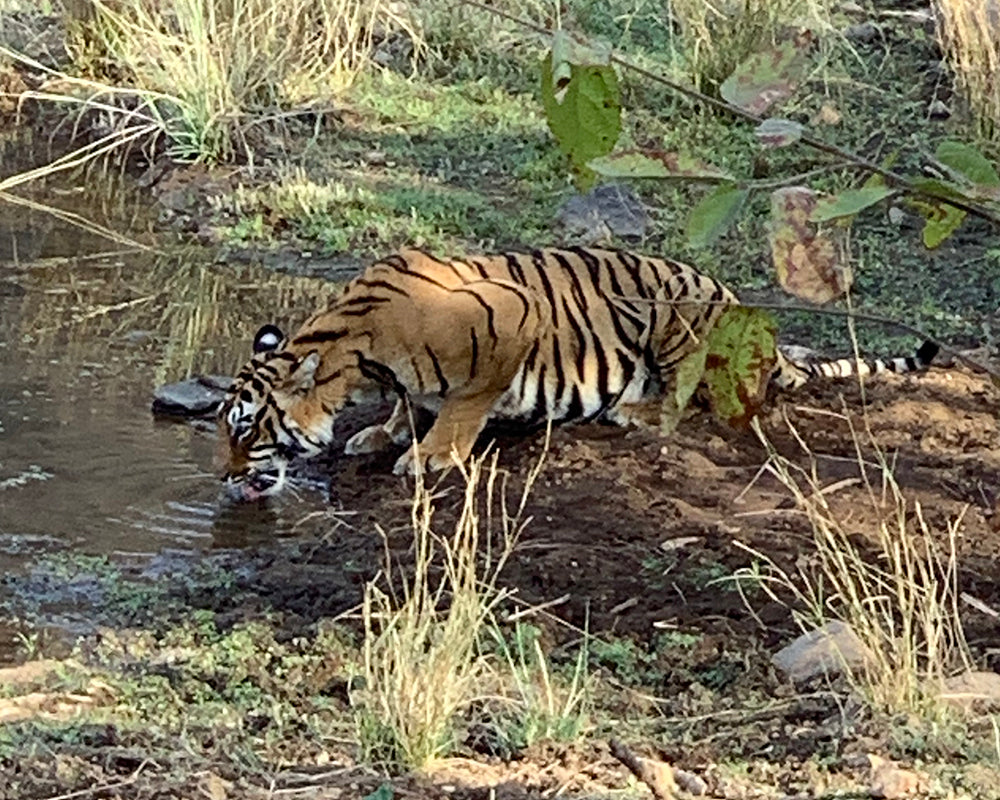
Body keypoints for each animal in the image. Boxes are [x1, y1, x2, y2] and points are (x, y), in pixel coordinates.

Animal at [217, 248, 936, 500]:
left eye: (248, 431)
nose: (225, 477)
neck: (355, 347)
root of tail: (734, 300)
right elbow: (408, 399)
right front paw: (385, 431)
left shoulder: (509, 324)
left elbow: (462, 406)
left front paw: (430, 456)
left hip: (675, 316)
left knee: (693, 402)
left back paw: (635, 411)